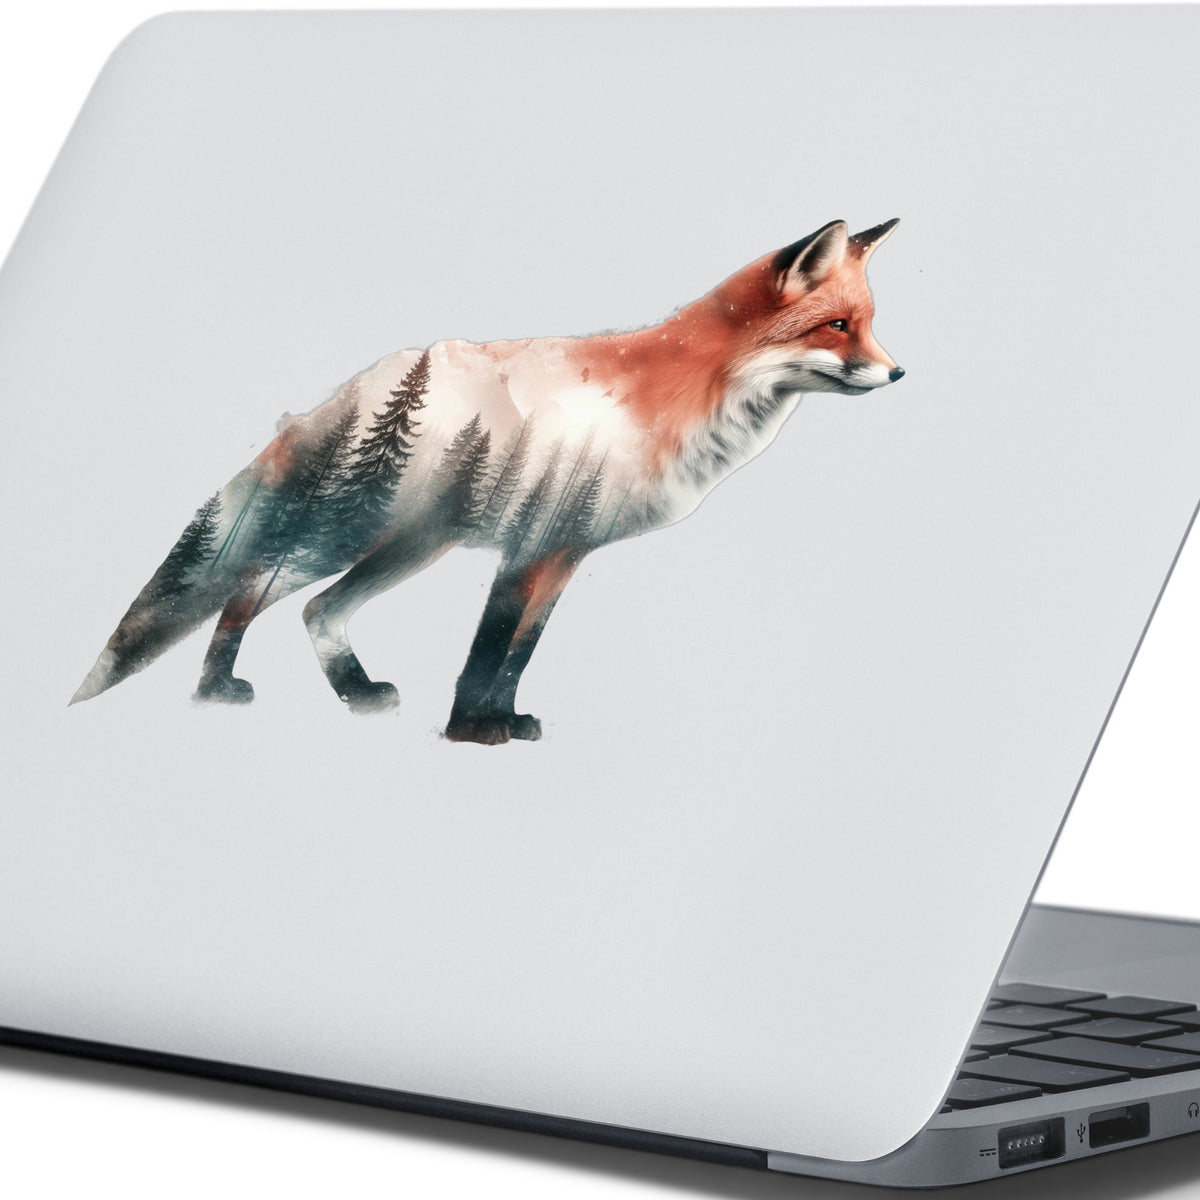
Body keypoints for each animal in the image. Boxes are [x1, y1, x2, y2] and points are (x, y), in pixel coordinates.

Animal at [73, 217, 904, 744]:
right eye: (837, 327)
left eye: (867, 325)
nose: (898, 373)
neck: (676, 398)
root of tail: (358, 383)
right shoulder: (532, 542)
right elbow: (489, 647)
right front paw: (473, 731)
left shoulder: (565, 552)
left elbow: (520, 652)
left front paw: (503, 720)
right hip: (343, 531)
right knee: (248, 593)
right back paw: (216, 691)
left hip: (410, 547)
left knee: (316, 611)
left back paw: (356, 696)